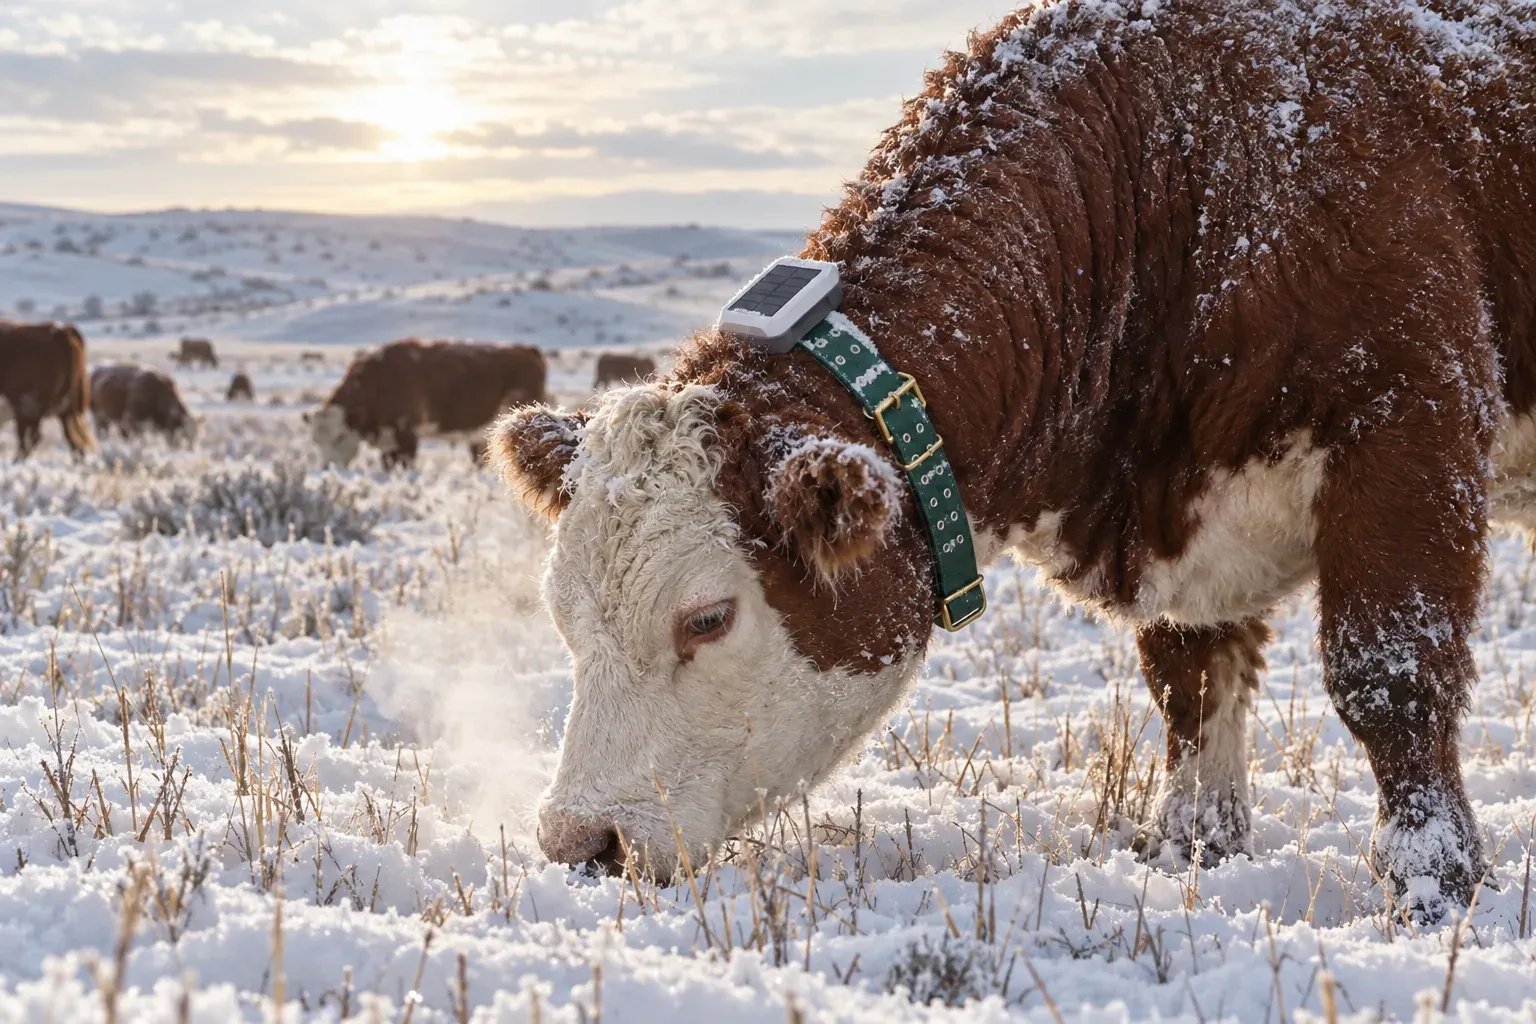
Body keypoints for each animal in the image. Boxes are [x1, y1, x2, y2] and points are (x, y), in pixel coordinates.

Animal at [309, 340, 547, 469]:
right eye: (315, 441)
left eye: (340, 436)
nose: (326, 467)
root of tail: (526, 350)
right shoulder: (389, 442)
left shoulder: (407, 437)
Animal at [488, 0, 1536, 921]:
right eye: (562, 616)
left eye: (708, 617)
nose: (583, 842)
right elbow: (1189, 681)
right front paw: (1190, 845)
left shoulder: (1412, 416)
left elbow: (1389, 674)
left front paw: (1433, 883)